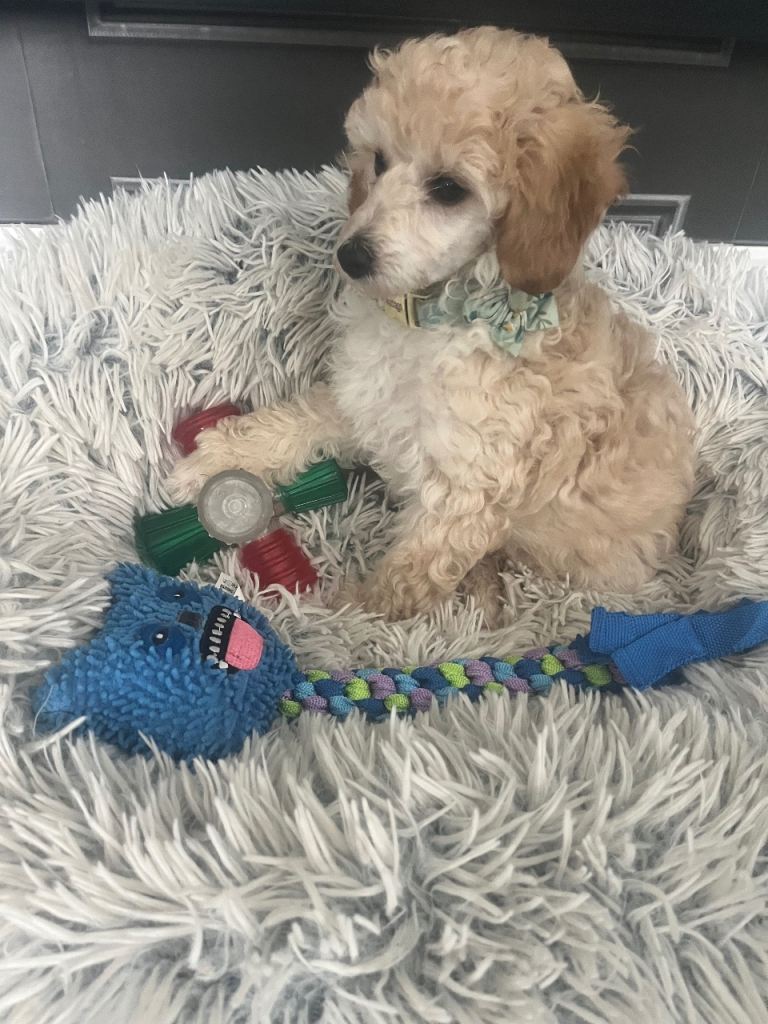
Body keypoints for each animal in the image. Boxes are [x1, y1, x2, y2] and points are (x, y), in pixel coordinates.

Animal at [169, 27, 695, 621]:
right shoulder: (363, 396)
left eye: (448, 188)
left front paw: (341, 621)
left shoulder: (464, 491)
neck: (433, 321)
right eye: (378, 160)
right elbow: (295, 420)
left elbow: (401, 585)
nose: (351, 256)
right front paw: (220, 459)